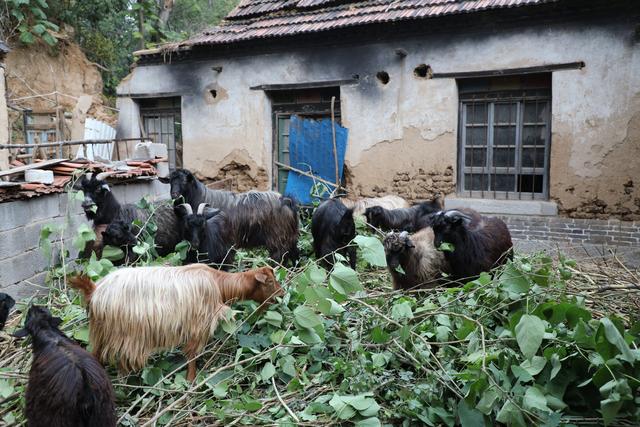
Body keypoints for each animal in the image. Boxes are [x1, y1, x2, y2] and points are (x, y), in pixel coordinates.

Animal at [67, 264, 282, 382]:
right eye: (270, 282)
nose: (281, 294)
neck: (218, 283)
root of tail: (94, 290)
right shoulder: (198, 324)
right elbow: (192, 355)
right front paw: (191, 380)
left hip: (101, 331)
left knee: (94, 354)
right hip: (122, 333)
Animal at [160, 170, 300, 264]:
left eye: (184, 181)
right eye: (170, 181)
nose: (174, 194)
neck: (199, 197)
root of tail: (286, 200)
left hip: (278, 240)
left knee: (279, 261)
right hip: (290, 237)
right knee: (295, 257)